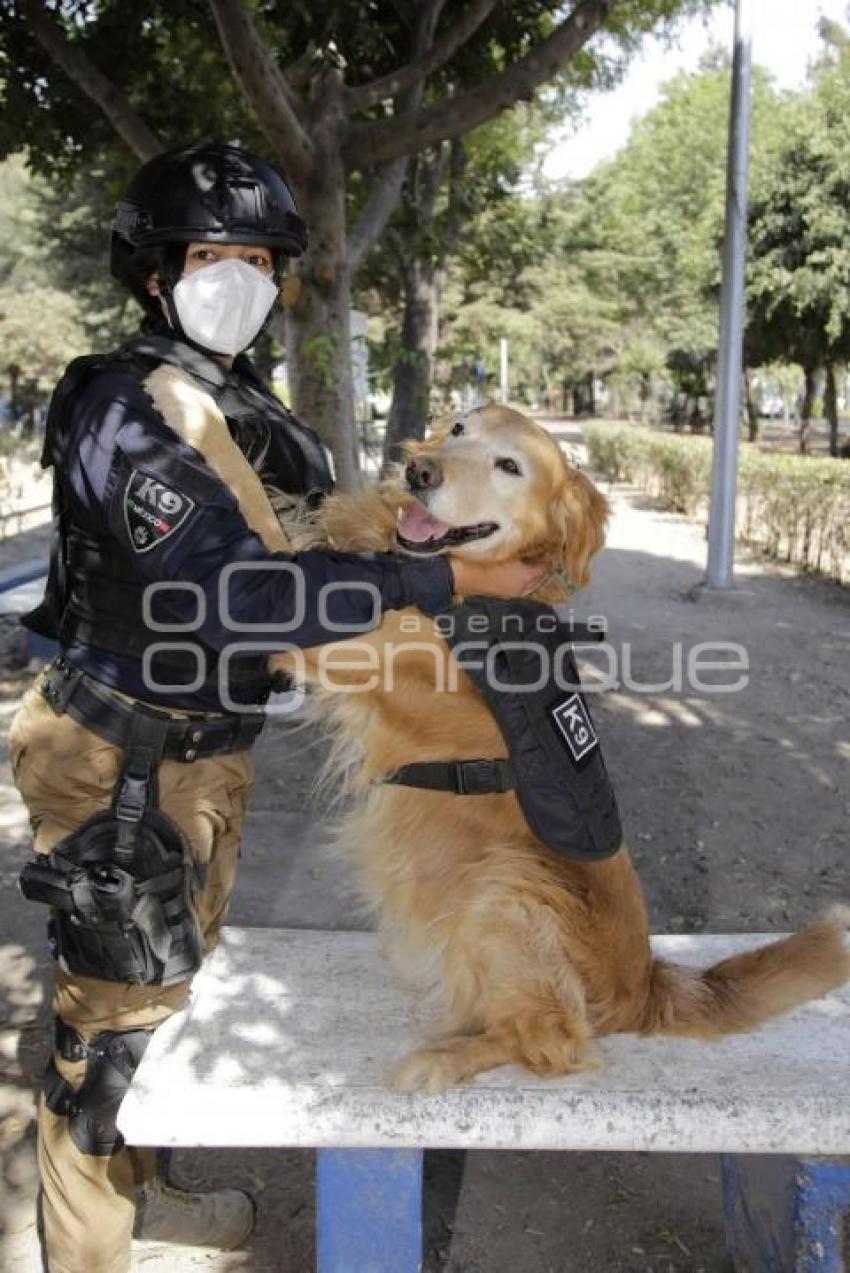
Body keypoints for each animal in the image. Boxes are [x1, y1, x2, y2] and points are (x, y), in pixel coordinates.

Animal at [272, 402, 850, 1089]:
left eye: (509, 466)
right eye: (459, 430)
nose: (420, 470)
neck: (472, 586)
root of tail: (647, 984)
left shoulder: (323, 639)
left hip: (512, 884)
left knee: (554, 1041)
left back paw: (440, 1059)